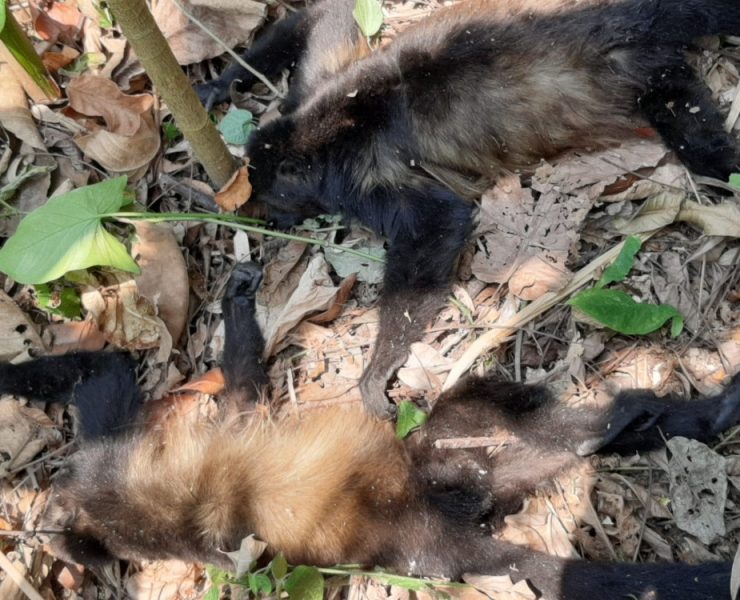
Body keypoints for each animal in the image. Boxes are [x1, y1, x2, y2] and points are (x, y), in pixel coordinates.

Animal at [1, 262, 738, 600]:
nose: (52, 524)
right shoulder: (117, 479)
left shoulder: (116, 475)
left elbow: (234, 391)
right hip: (442, 499)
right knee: (489, 428)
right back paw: (623, 425)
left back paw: (678, 416)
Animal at [196, 0, 740, 418]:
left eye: (272, 196)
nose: (257, 212)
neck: (319, 139)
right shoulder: (320, 88)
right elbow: (321, 16)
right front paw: (219, 85)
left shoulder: (361, 180)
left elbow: (440, 225)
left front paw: (376, 372)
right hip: (659, 75)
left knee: (705, 151)